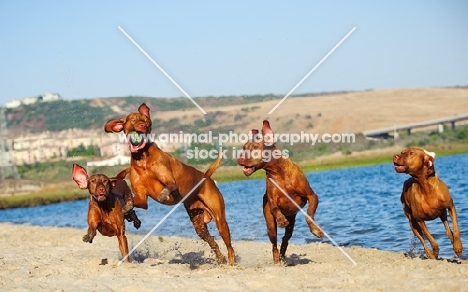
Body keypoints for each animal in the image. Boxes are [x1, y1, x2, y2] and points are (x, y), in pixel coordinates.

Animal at [102, 104, 234, 266]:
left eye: (147, 121)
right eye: (133, 119)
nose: (142, 125)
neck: (142, 158)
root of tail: (206, 177)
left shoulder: (171, 183)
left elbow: (168, 186)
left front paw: (163, 194)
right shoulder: (142, 198)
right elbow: (131, 200)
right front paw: (127, 208)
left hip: (220, 219)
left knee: (230, 247)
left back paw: (231, 263)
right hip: (198, 222)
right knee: (211, 240)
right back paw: (220, 258)